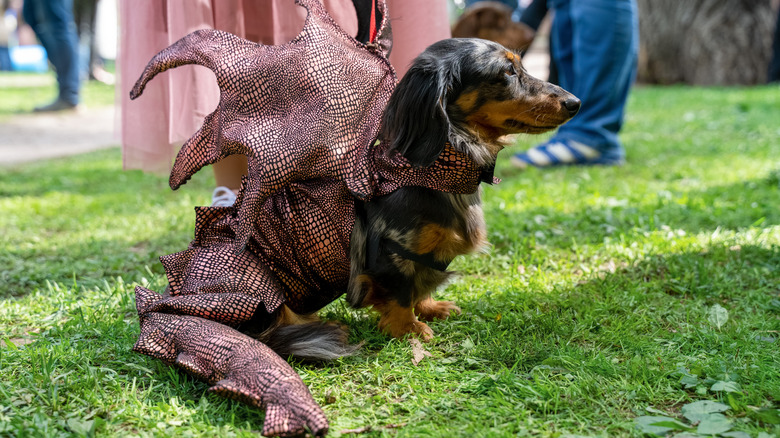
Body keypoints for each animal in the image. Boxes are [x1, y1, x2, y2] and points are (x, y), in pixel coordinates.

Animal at [344, 37, 576, 340]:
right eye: (508, 71)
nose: (576, 103)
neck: (436, 174)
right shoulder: (392, 250)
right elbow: (401, 292)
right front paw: (407, 328)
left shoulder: (426, 257)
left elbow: (420, 284)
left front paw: (429, 308)